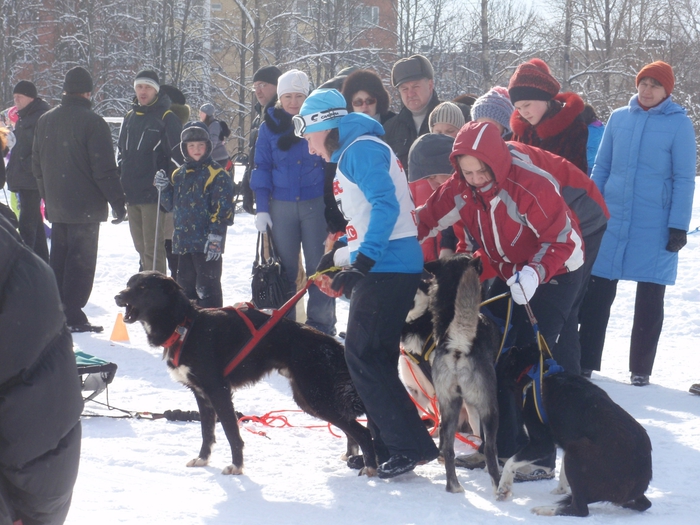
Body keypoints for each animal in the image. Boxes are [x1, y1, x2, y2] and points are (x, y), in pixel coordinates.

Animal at [115, 272, 378, 476]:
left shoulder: (219, 391)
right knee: (351, 427)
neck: (185, 326)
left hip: (315, 398)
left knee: (363, 431)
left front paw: (237, 467)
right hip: (308, 399)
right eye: (129, 283)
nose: (118, 296)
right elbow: (206, 432)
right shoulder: (202, 395)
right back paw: (352, 456)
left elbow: (231, 432)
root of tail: (331, 343)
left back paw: (370, 467)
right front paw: (203, 460)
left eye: (142, 287)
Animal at [494, 340, 652, 516]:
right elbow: (562, 479)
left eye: (501, 357)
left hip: (577, 451)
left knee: (580, 508)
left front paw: (504, 487)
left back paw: (547, 509)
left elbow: (510, 462)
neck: (534, 371)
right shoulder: (564, 441)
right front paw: (560, 490)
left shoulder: (543, 443)